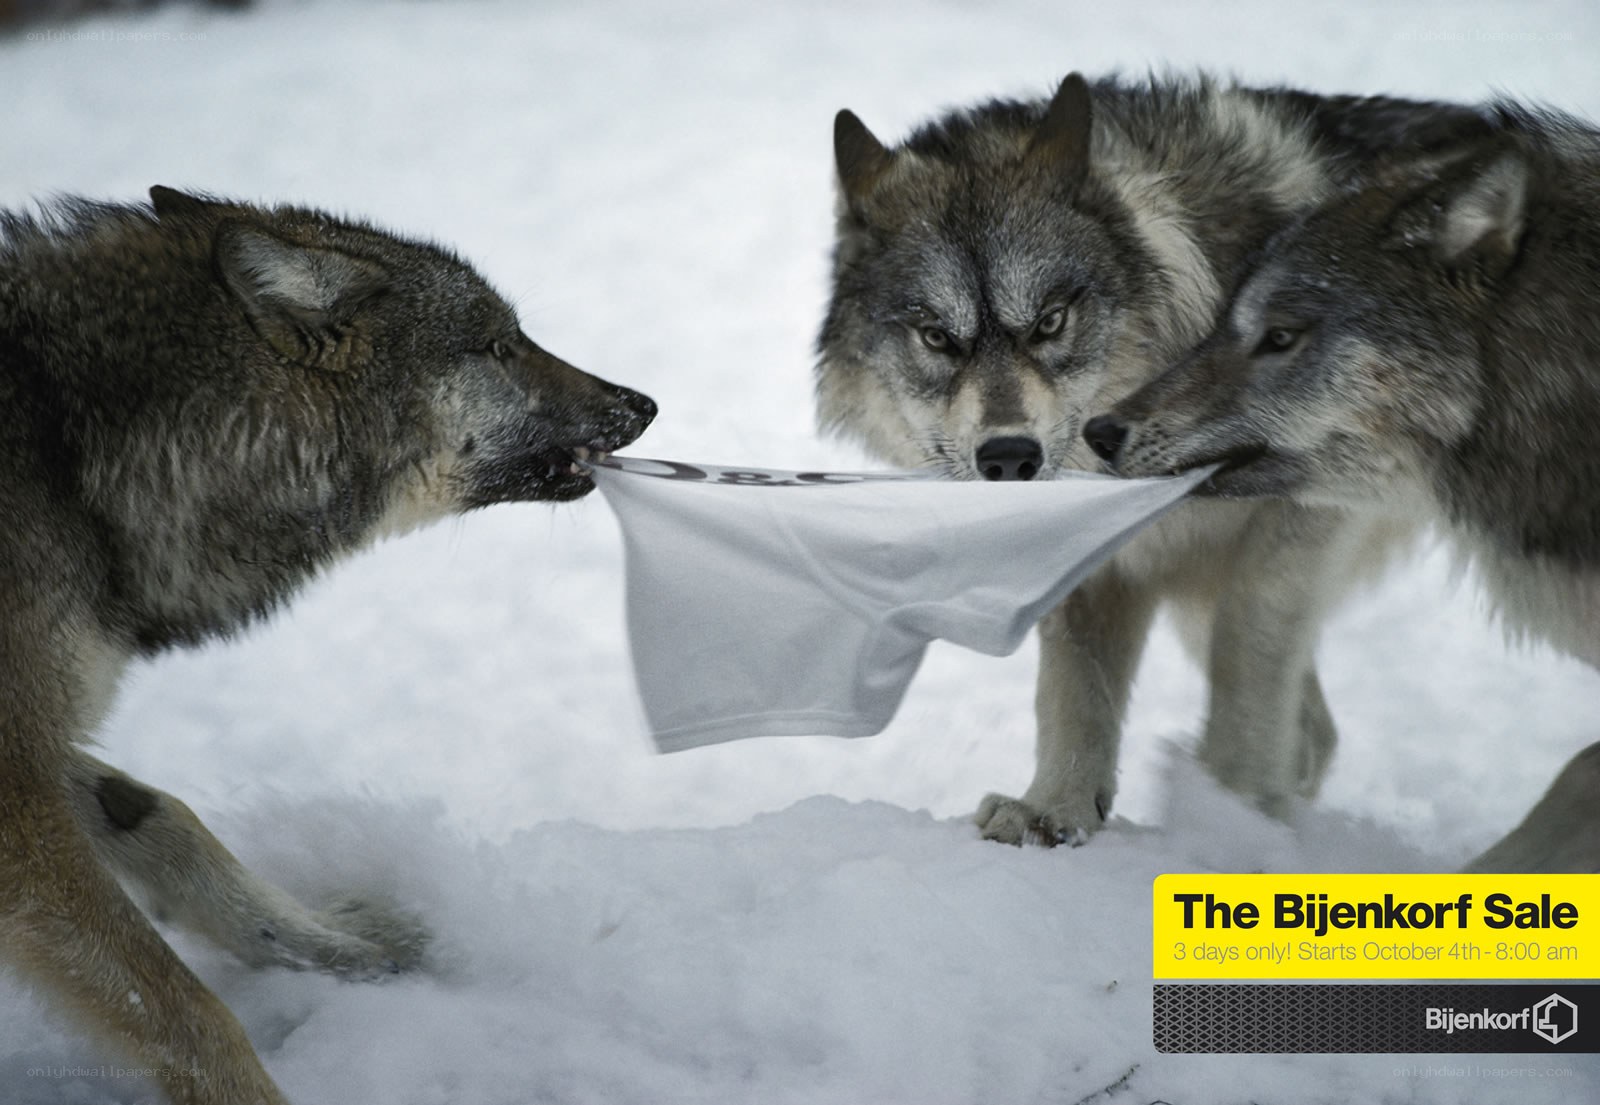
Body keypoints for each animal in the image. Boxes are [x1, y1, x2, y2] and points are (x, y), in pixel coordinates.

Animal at [0, 186, 656, 1104]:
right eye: (498, 344)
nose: (642, 402)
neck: (76, 446)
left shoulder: (40, 743)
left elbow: (174, 823)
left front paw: (341, 950)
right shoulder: (17, 790)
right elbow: (178, 1006)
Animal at [816, 73, 1489, 844]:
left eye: (1050, 321)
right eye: (936, 336)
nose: (1010, 456)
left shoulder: (1306, 516)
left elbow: (1248, 644)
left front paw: (1232, 802)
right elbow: (1074, 686)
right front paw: (1054, 812)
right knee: (1318, 735)